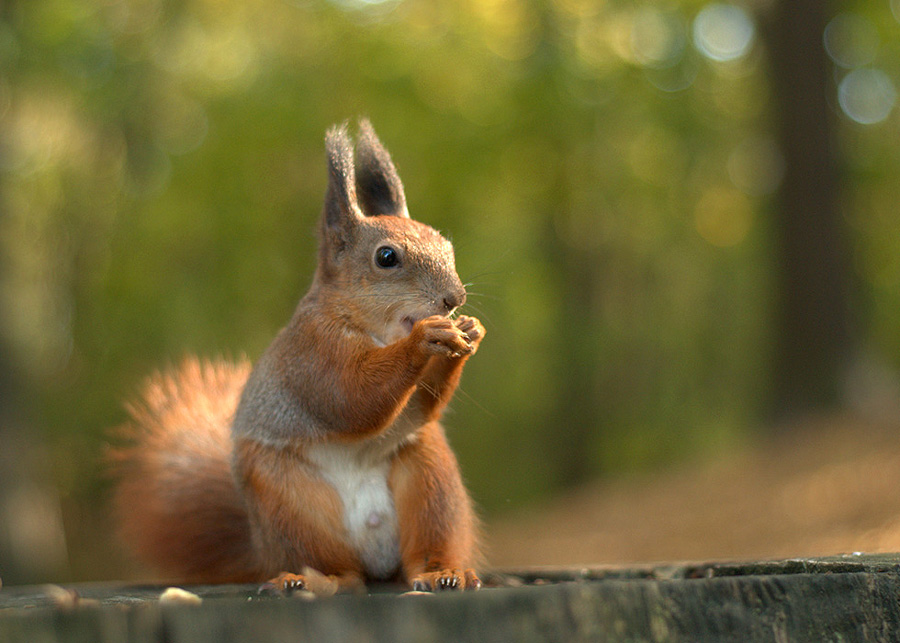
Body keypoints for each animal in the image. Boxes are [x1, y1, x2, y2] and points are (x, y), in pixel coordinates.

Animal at [111, 119, 486, 592]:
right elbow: (351, 398)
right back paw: (313, 580)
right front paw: (426, 338)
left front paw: (470, 333)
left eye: (446, 246)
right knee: (336, 566)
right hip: (287, 499)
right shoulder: (311, 353)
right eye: (386, 257)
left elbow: (421, 406)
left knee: (425, 548)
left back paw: (443, 571)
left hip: (429, 477)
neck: (374, 331)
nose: (454, 298)